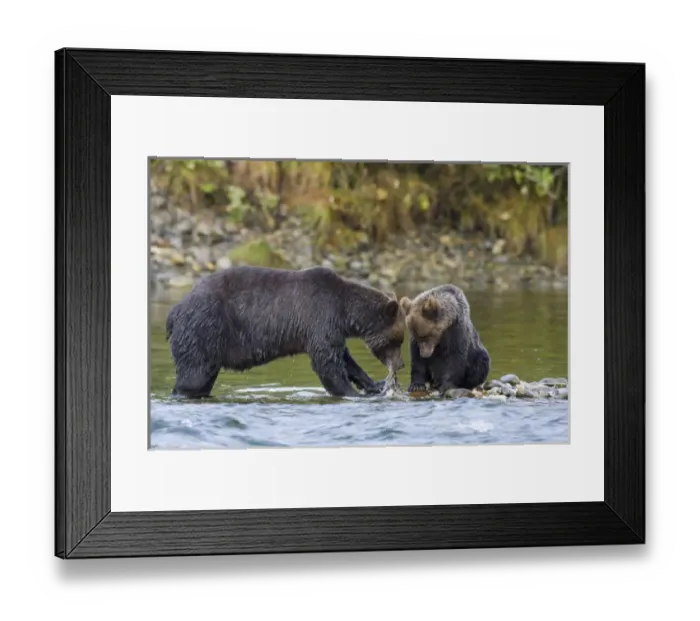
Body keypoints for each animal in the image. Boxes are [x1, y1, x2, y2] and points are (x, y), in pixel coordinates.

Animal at [165, 265, 406, 398]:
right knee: (193, 377)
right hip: (203, 330)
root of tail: (174, 311)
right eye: (398, 339)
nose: (401, 365)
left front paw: (374, 384)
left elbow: (345, 359)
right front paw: (351, 393)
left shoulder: (330, 328)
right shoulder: (319, 317)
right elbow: (327, 363)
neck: (345, 310)